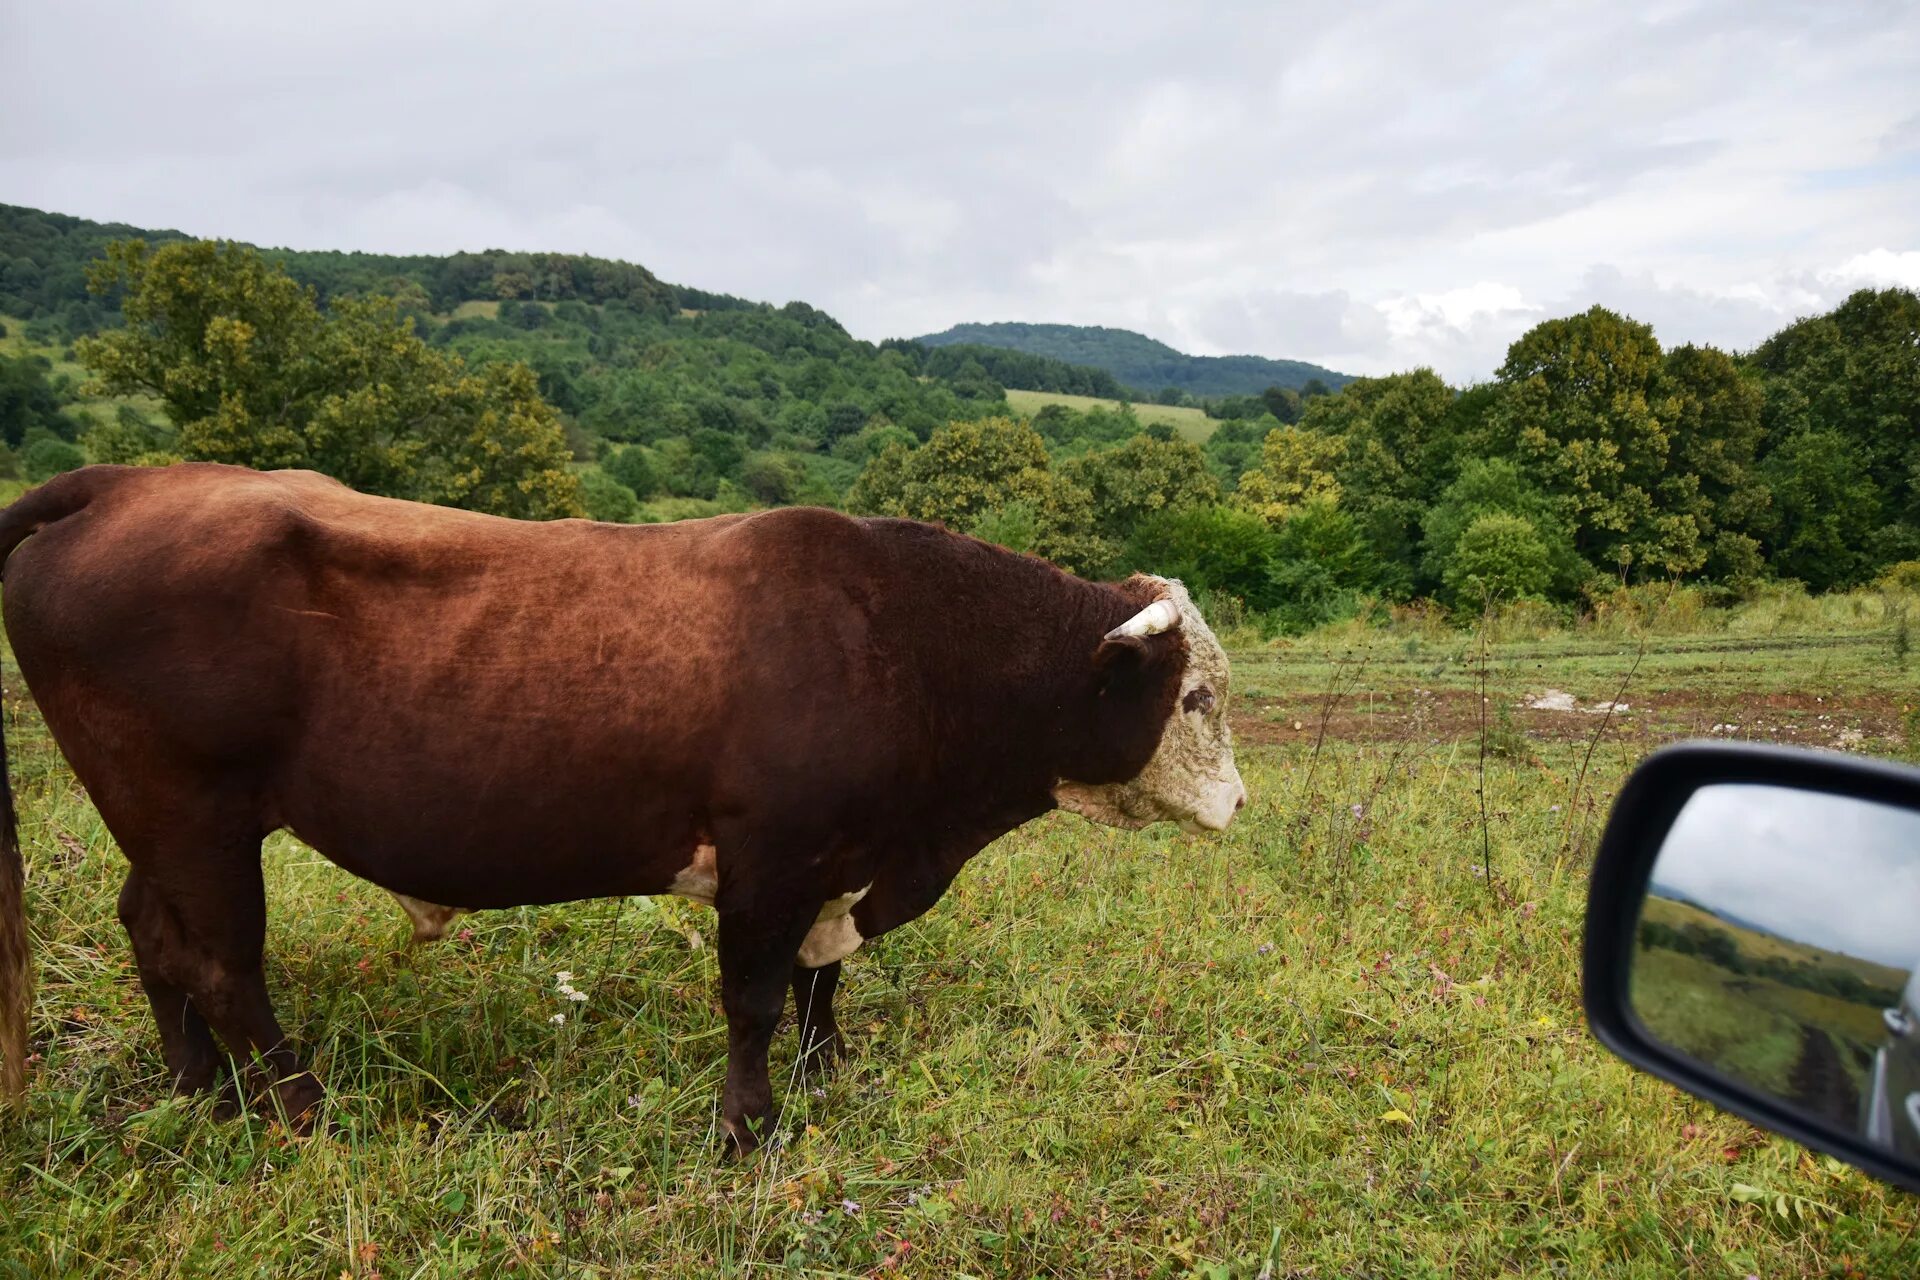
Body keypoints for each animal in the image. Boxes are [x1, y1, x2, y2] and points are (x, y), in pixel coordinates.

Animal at [0, 462, 1244, 1151]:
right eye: (1196, 694)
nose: (1237, 800)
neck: (903, 637)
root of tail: (131, 480)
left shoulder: (839, 858)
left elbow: (821, 979)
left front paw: (826, 1070)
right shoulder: (770, 854)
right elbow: (756, 994)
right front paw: (748, 1128)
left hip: (163, 817)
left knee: (152, 934)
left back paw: (197, 1089)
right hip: (190, 811)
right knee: (222, 963)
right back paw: (301, 1110)